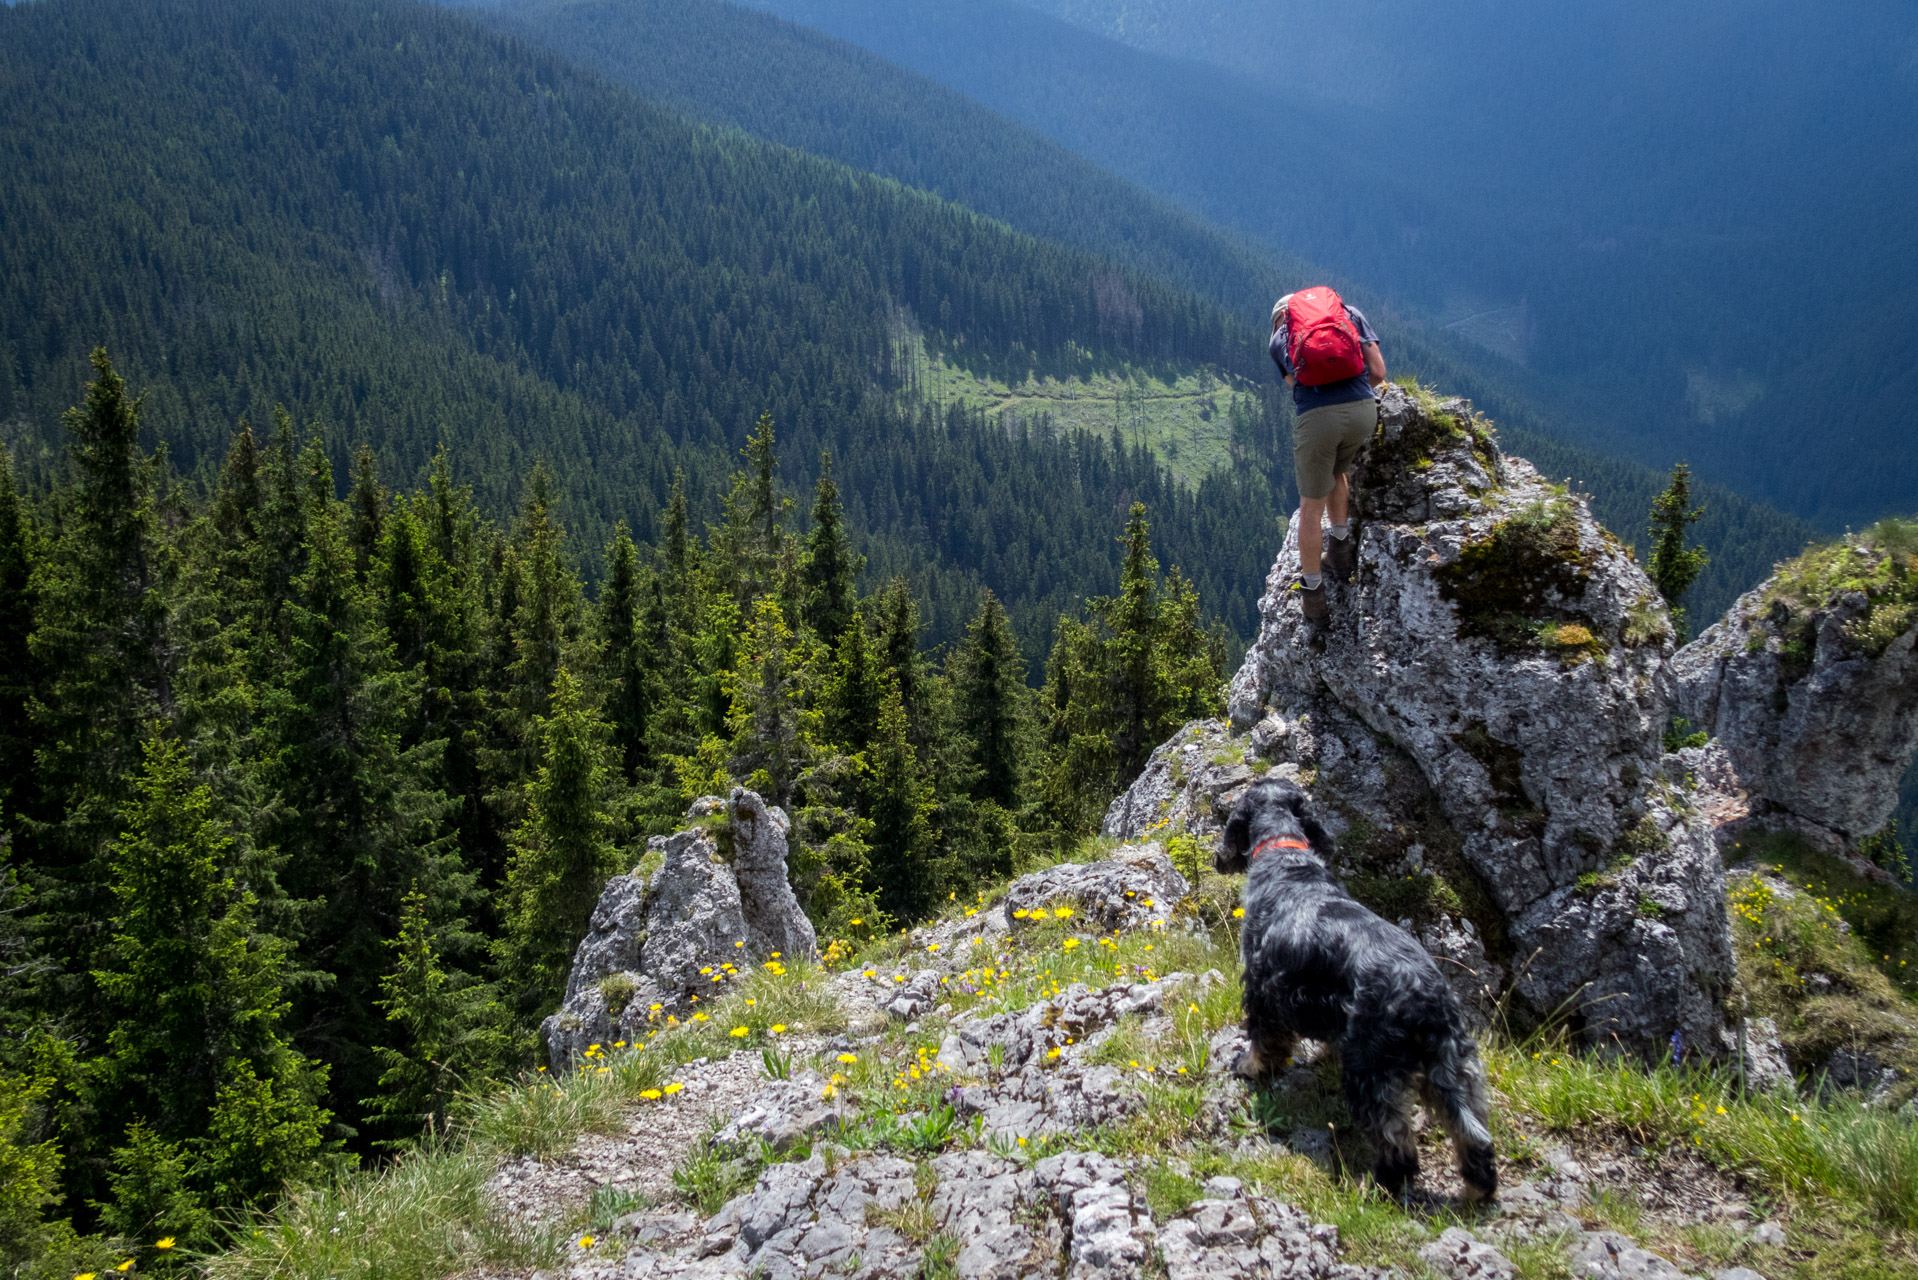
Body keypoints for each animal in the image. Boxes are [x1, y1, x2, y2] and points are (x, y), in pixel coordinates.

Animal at [1227, 775, 1496, 1205]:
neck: (1285, 856)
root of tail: (1426, 998)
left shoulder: (1262, 987)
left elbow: (1263, 1040)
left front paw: (1250, 1066)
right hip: (1454, 1062)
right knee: (1472, 1131)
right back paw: (1477, 1187)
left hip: (1371, 1070)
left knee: (1396, 1141)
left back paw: (1378, 1186)